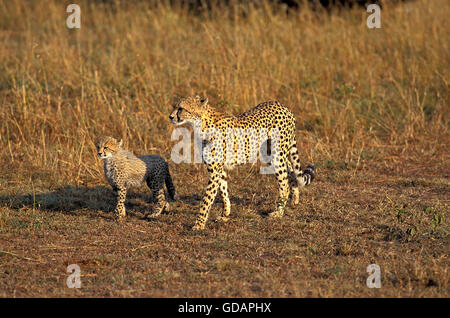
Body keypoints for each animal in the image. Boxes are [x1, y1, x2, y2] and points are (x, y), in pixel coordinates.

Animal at [170, 95, 316, 230]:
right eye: (174, 106)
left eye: (181, 108)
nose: (170, 117)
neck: (200, 124)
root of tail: (282, 106)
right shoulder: (218, 169)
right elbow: (223, 191)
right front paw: (225, 214)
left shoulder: (215, 170)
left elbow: (207, 199)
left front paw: (199, 224)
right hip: (270, 153)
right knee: (290, 168)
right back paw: (294, 198)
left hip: (276, 155)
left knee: (284, 184)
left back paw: (278, 213)